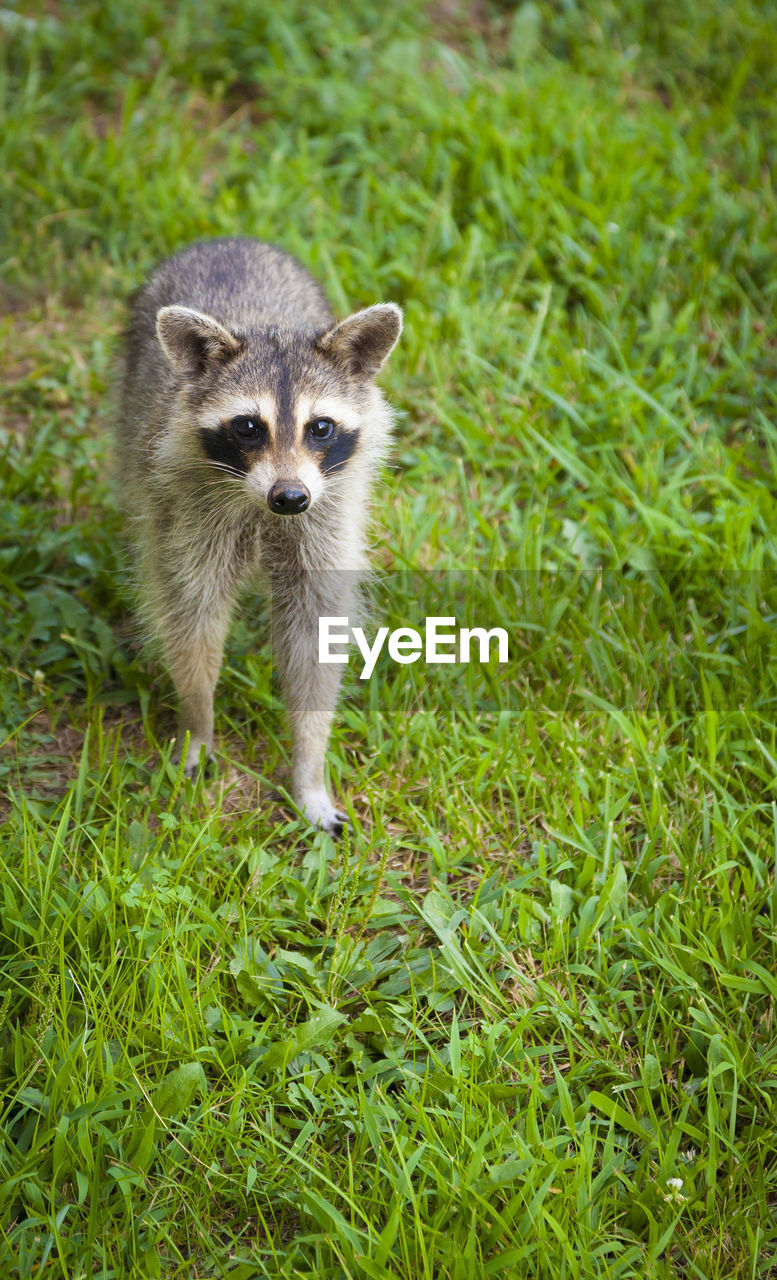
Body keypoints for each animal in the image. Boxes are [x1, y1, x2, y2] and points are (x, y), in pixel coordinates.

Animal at [120, 238, 407, 839]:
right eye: (249, 427)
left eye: (320, 427)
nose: (290, 497)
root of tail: (229, 241)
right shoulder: (189, 516)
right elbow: (191, 621)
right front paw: (198, 721)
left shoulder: (326, 521)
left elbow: (315, 641)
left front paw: (310, 767)